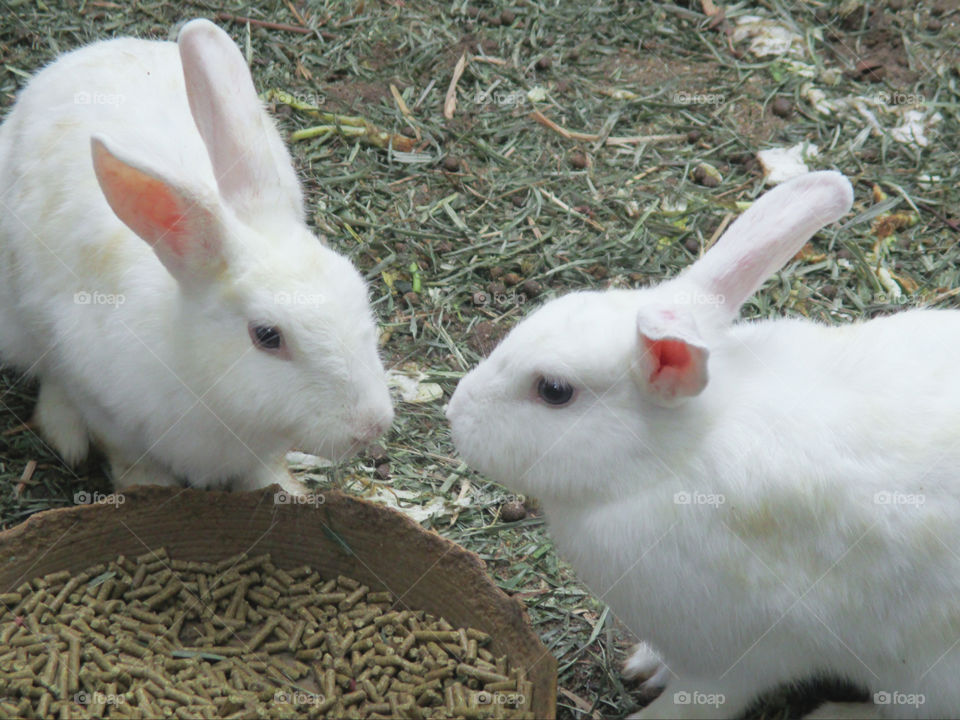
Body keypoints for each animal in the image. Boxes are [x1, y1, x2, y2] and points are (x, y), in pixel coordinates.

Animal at [0, 19, 393, 494]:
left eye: (359, 292)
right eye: (267, 336)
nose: (372, 425)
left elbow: (265, 470)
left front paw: (285, 490)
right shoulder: (106, 410)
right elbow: (131, 461)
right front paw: (149, 489)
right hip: (17, 323)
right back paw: (66, 436)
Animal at [448, 170, 960, 719]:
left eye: (554, 391)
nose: (454, 414)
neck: (674, 460)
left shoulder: (735, 660)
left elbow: (693, 704)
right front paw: (646, 666)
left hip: (926, 679)